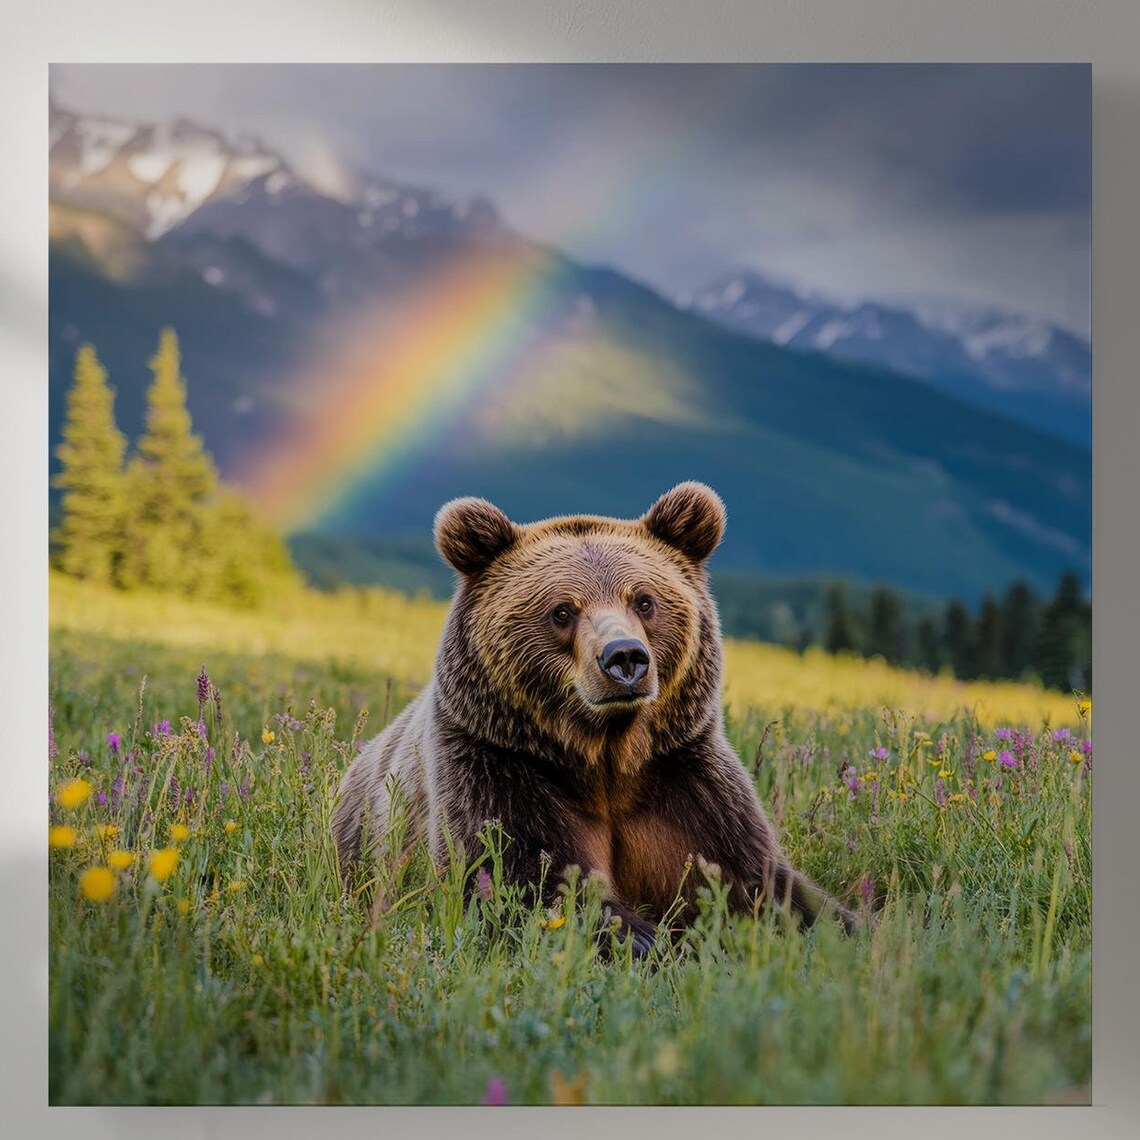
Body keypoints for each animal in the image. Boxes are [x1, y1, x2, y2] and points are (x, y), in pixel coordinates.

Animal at [331, 482, 856, 953]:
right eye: (563, 610)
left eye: (644, 600)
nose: (624, 657)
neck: (607, 757)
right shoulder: (494, 766)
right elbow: (521, 880)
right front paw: (654, 942)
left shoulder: (686, 781)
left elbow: (760, 883)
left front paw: (851, 929)